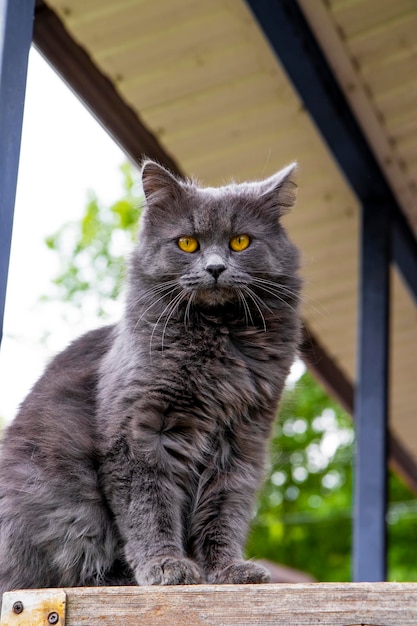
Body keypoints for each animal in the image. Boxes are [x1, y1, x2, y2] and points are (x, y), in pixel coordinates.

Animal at [0, 157, 300, 596]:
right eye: (187, 243)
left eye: (241, 242)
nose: (215, 268)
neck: (217, 341)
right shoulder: (139, 433)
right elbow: (149, 507)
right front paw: (165, 565)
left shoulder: (241, 441)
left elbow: (223, 512)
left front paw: (228, 570)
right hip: (59, 499)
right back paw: (121, 577)